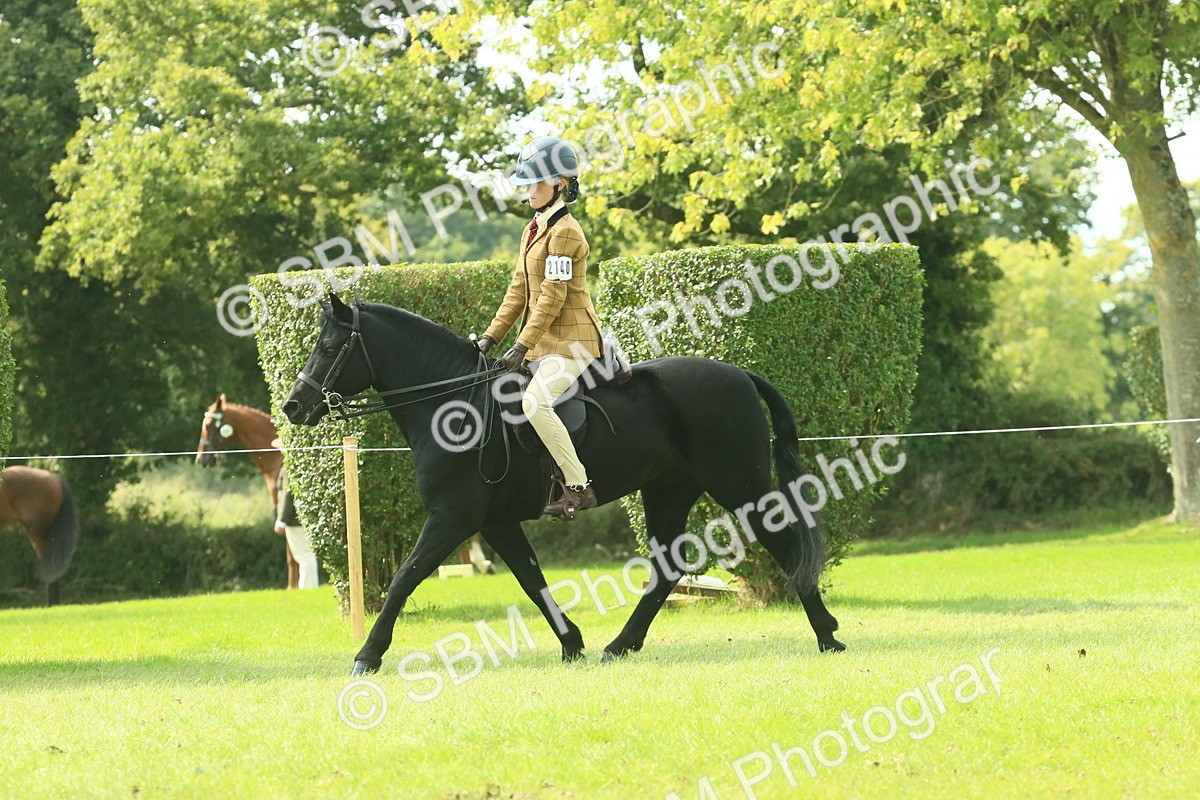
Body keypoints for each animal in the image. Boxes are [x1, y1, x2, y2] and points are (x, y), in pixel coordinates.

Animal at [282, 294, 844, 675]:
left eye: (329, 347)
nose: (293, 406)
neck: (454, 403)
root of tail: (741, 375)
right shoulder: (497, 523)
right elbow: (532, 582)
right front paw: (572, 642)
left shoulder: (452, 518)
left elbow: (404, 579)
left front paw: (367, 656)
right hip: (668, 489)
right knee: (667, 568)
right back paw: (620, 645)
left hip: (738, 485)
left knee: (783, 542)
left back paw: (827, 635)